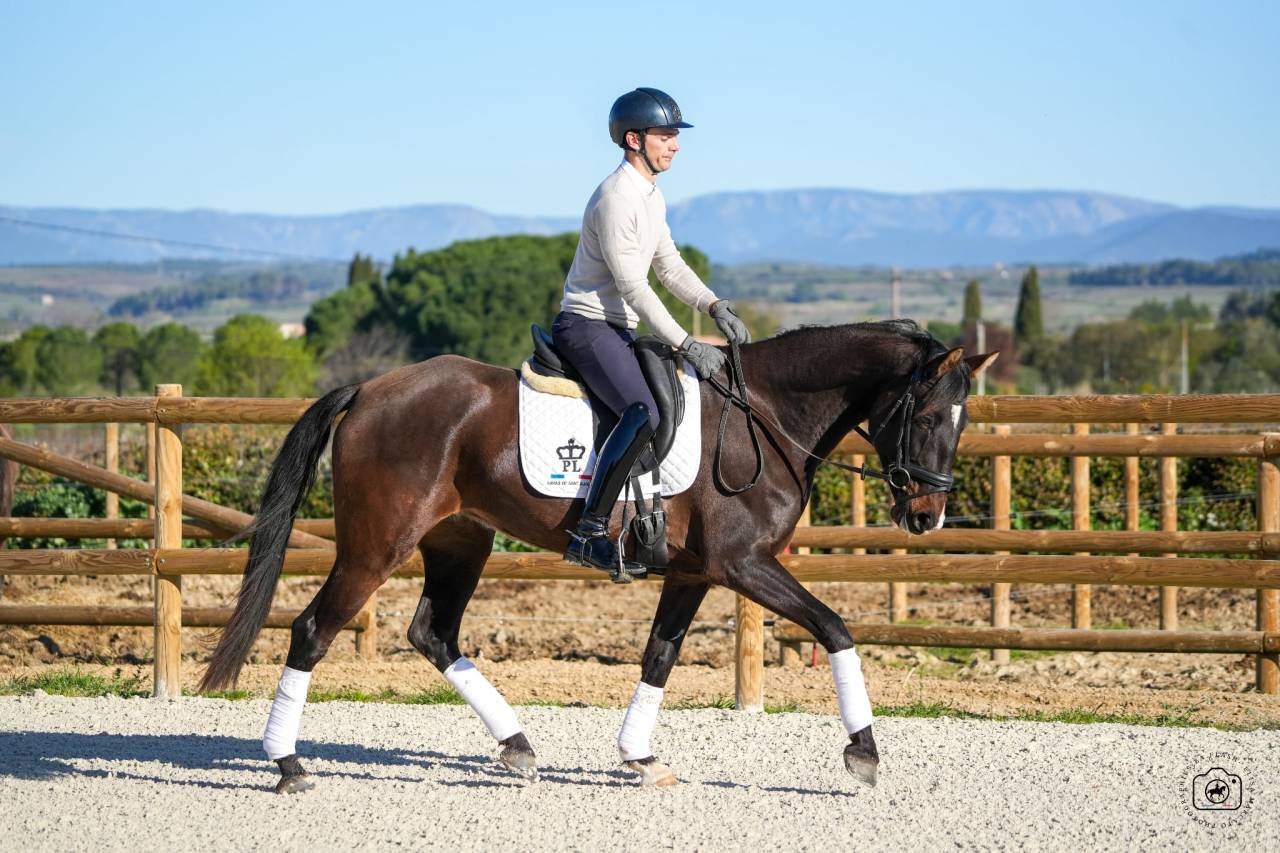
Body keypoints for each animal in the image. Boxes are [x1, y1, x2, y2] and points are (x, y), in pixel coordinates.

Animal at [199, 319, 996, 794]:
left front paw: (639, 756)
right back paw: (289, 765)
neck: (764, 416)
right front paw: (863, 753)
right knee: (313, 630)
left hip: (460, 539)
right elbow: (835, 628)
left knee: (434, 632)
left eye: (963, 421)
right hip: (375, 546)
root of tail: (368, 389)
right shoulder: (744, 566)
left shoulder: (694, 572)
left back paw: (518, 745)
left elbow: (659, 657)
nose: (927, 517)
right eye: (930, 416)